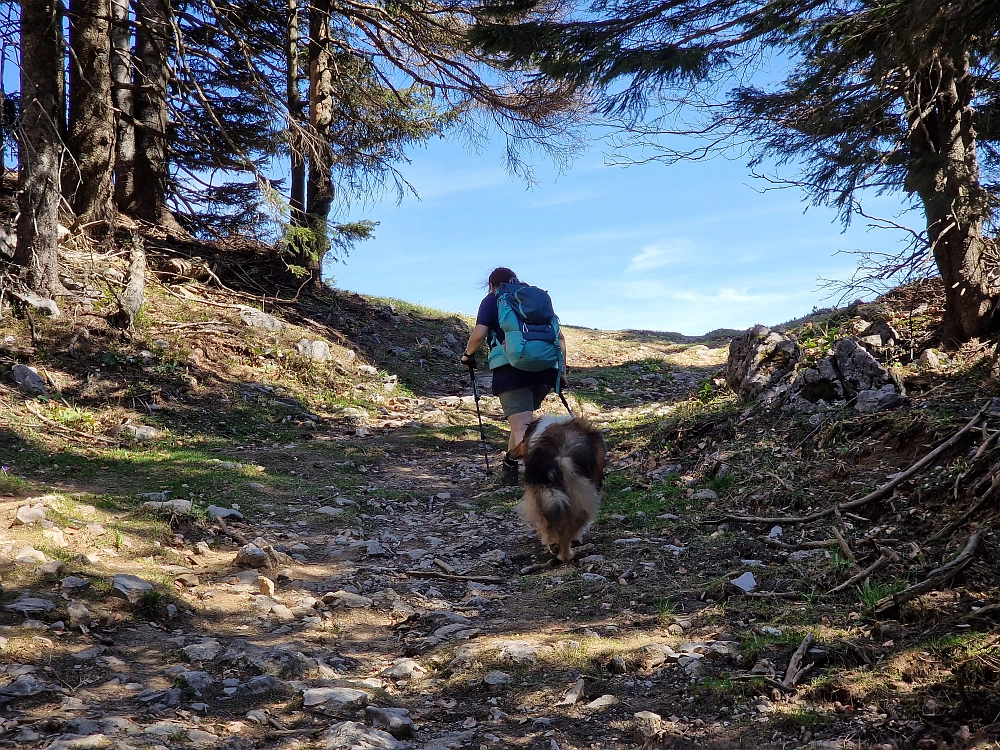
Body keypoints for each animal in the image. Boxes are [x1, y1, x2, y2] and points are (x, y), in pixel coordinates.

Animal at [512, 418, 604, 564]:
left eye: (523, 440)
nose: (509, 454)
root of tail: (561, 457)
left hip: (545, 494)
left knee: (548, 521)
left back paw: (556, 547)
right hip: (581, 494)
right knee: (569, 524)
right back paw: (565, 553)